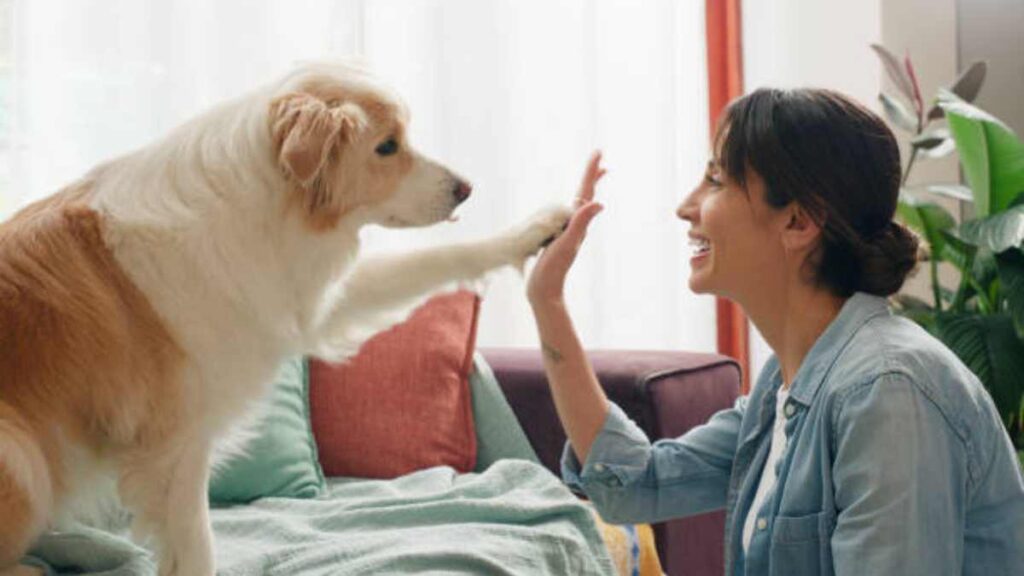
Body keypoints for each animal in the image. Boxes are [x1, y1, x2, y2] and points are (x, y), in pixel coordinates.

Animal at [0, 62, 573, 573]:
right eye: (387, 146)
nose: (466, 188)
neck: (266, 206)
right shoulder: (177, 445)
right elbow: (197, 550)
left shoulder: (306, 302)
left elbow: (438, 258)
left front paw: (532, 232)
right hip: (21, 454)